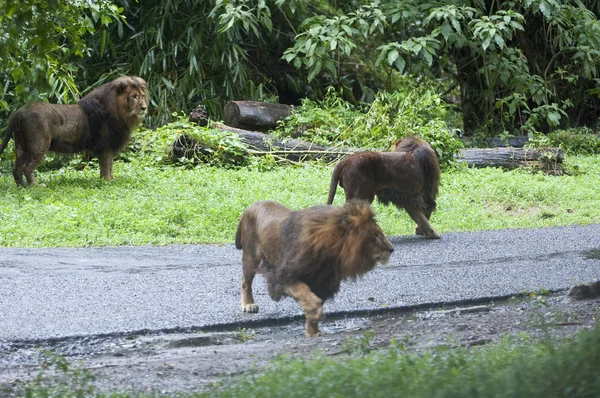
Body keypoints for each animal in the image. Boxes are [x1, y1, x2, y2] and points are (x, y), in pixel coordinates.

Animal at [0, 76, 148, 185]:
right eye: (134, 97)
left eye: (142, 96)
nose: (144, 108)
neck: (121, 113)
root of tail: (19, 112)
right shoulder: (104, 146)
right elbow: (106, 167)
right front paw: (107, 182)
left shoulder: (108, 147)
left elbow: (110, 166)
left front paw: (111, 180)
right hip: (38, 145)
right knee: (27, 167)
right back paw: (36, 186)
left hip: (21, 146)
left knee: (16, 169)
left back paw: (23, 186)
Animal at [234, 199, 394, 336]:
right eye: (376, 236)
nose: (392, 249)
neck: (332, 255)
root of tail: (251, 206)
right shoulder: (284, 277)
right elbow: (304, 293)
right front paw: (314, 313)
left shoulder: (322, 284)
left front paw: (313, 332)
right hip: (251, 256)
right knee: (245, 282)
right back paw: (248, 304)